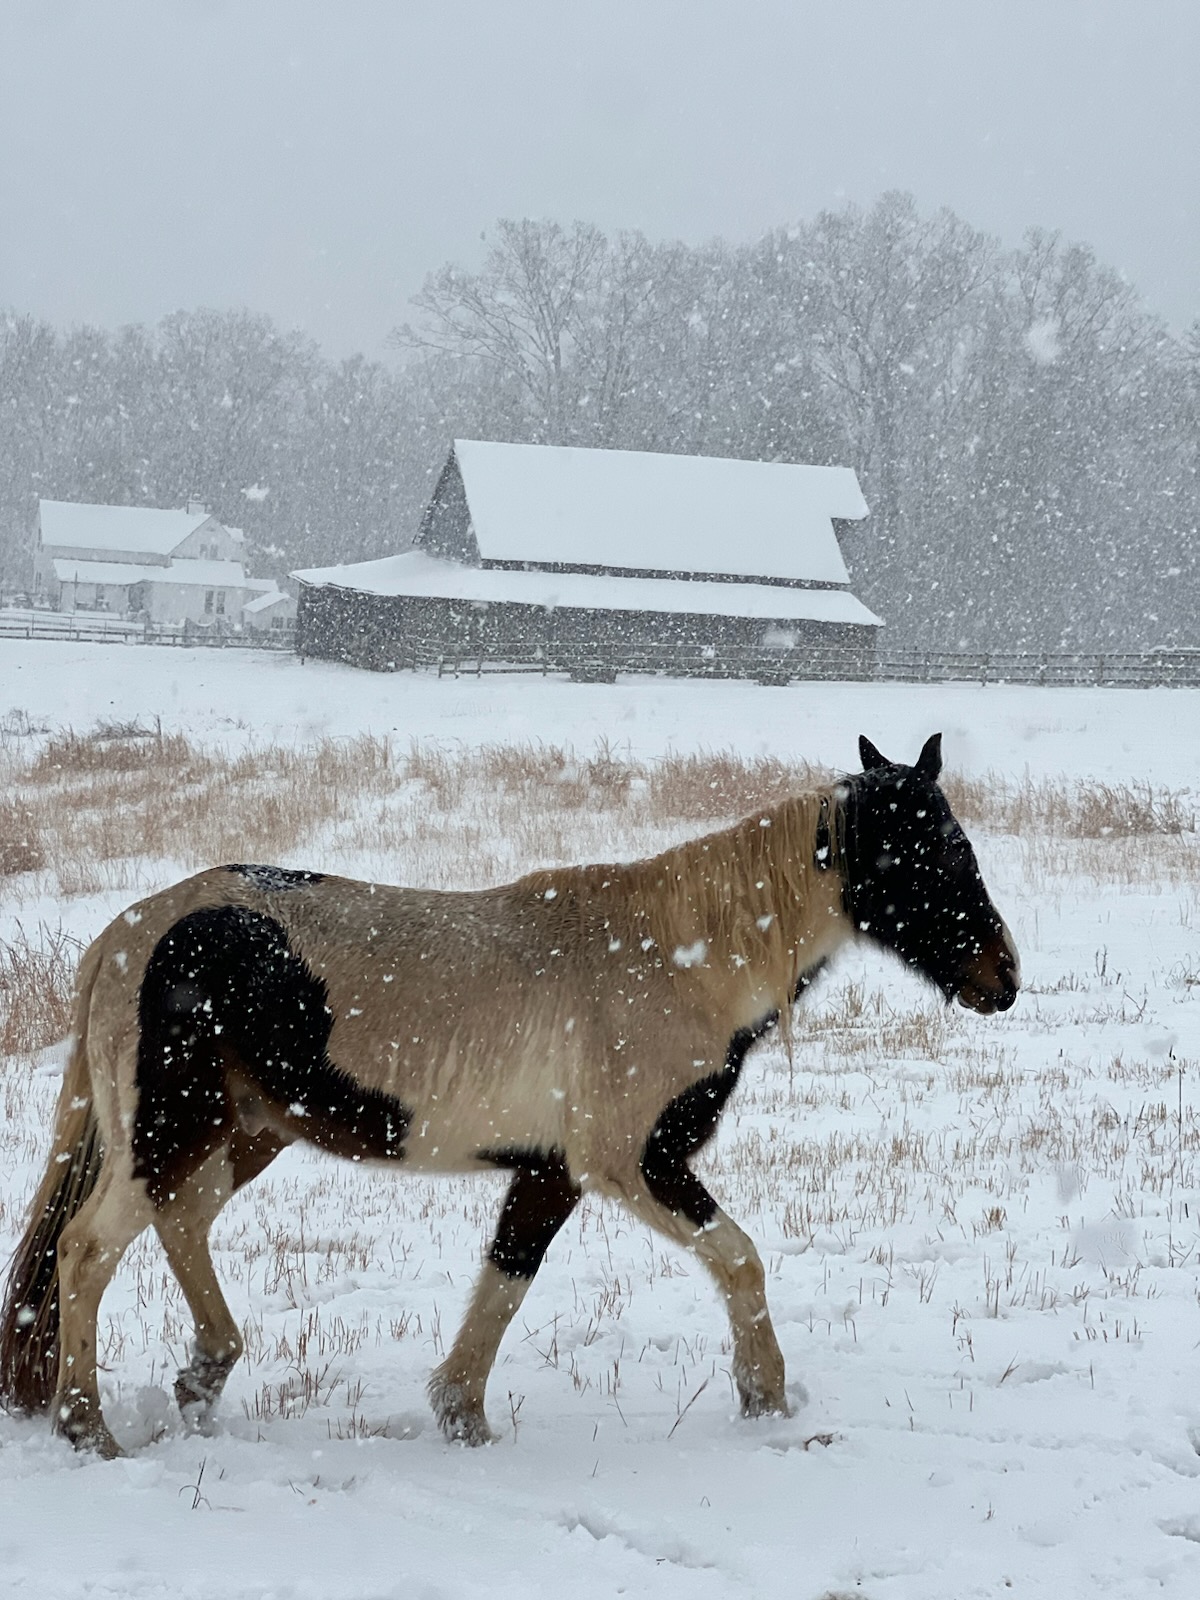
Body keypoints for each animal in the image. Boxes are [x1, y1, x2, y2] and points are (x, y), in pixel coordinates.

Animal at [0, 732, 1018, 1458]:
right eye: (926, 853)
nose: (1003, 977)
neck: (675, 963)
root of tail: (128, 933)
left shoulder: (550, 1172)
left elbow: (504, 1283)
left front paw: (463, 1417)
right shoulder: (630, 1164)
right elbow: (739, 1258)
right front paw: (764, 1399)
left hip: (240, 1133)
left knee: (180, 1222)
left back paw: (202, 1378)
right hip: (172, 1130)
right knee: (87, 1251)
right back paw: (90, 1428)